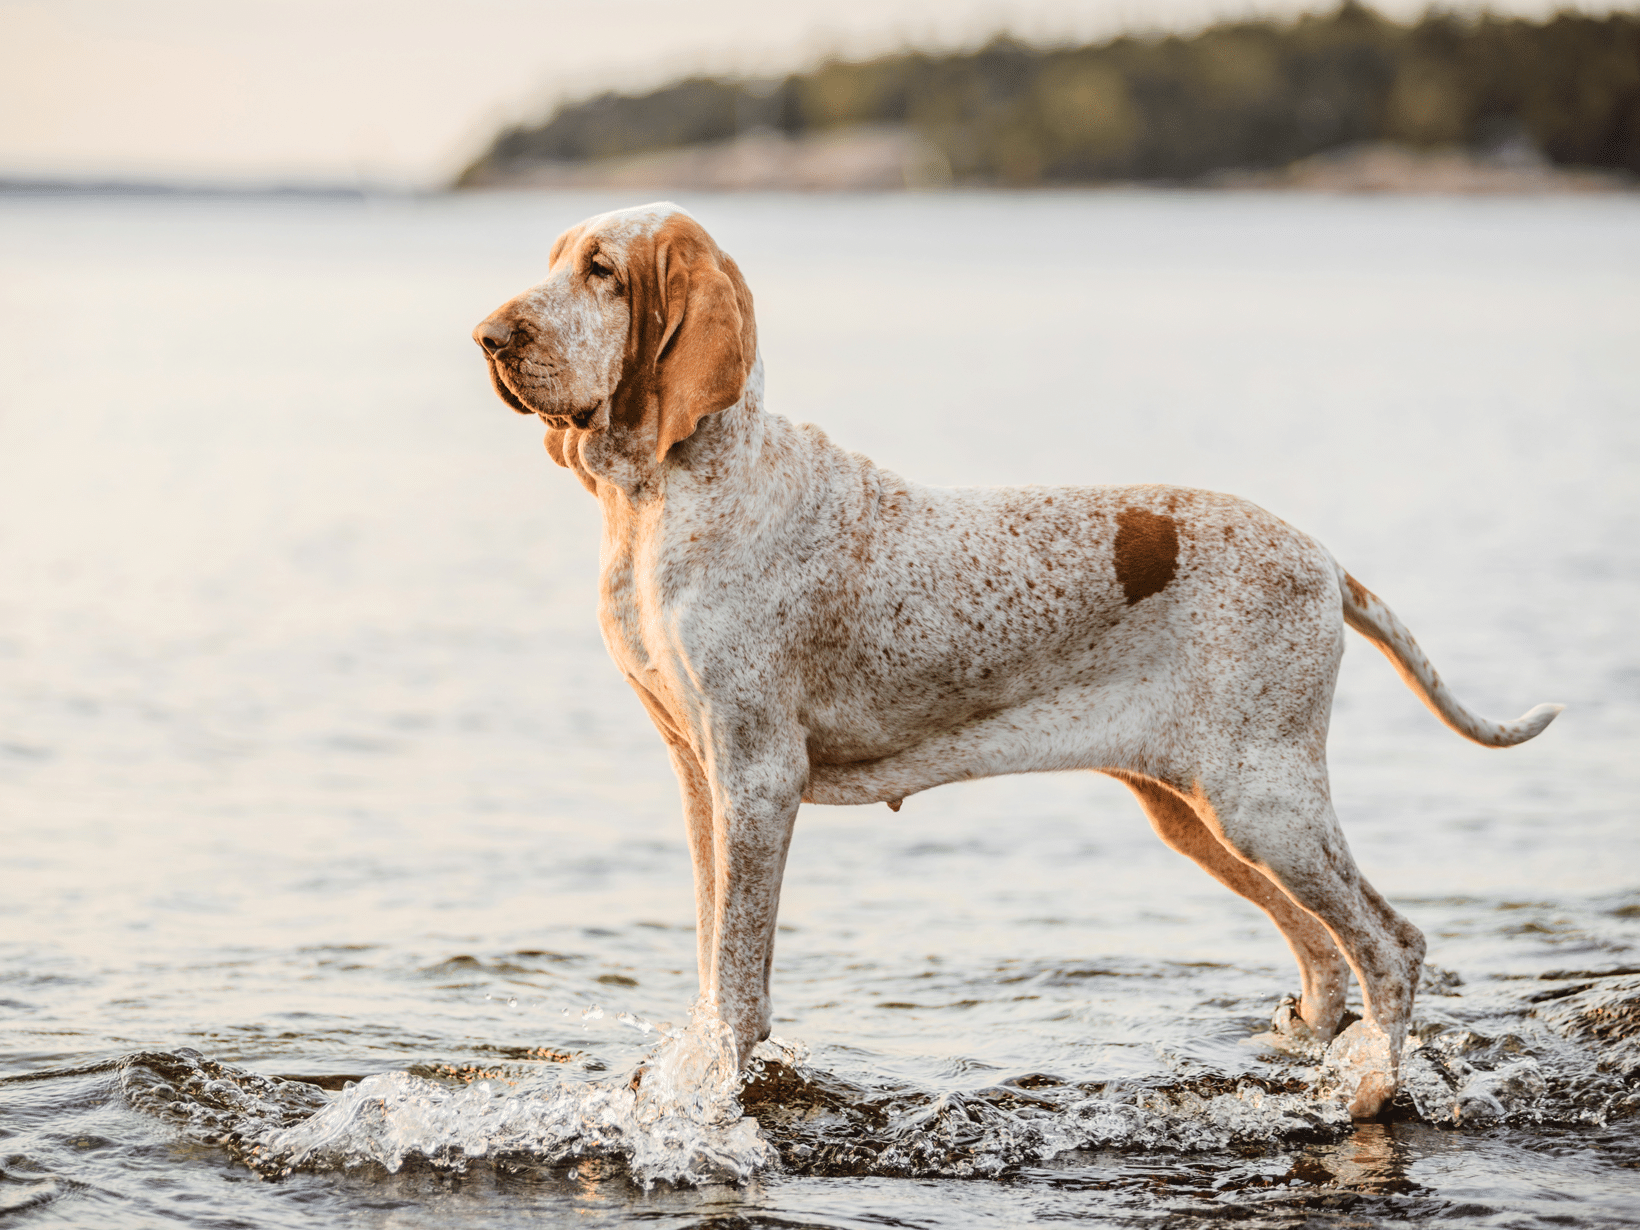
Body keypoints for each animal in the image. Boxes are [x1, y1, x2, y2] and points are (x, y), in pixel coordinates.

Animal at [475, 202, 1561, 1115]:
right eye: (556, 261)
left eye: (602, 270)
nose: (487, 337)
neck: (667, 494)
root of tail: (1327, 562)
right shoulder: (699, 773)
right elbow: (710, 956)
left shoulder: (757, 776)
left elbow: (738, 978)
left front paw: (711, 1096)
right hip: (1201, 810)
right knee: (1324, 955)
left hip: (1263, 797)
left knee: (1391, 946)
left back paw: (1369, 1090)